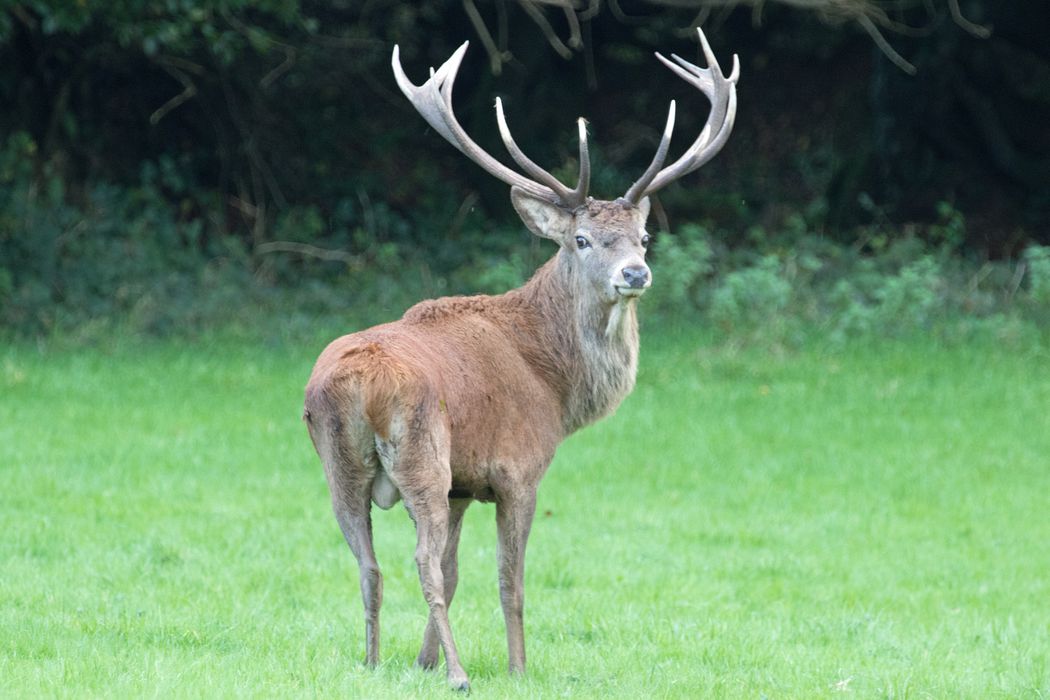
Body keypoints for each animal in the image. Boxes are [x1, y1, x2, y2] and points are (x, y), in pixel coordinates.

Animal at [303, 28, 738, 691]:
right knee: (418, 559)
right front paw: (516, 668)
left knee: (368, 562)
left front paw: (422, 663)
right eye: (581, 240)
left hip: (338, 463)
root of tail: (359, 383)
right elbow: (508, 581)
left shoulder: (463, 483)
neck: (555, 386)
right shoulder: (518, 469)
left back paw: (374, 661)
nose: (635, 273)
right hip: (422, 453)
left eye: (642, 237)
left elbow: (456, 572)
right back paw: (460, 675)